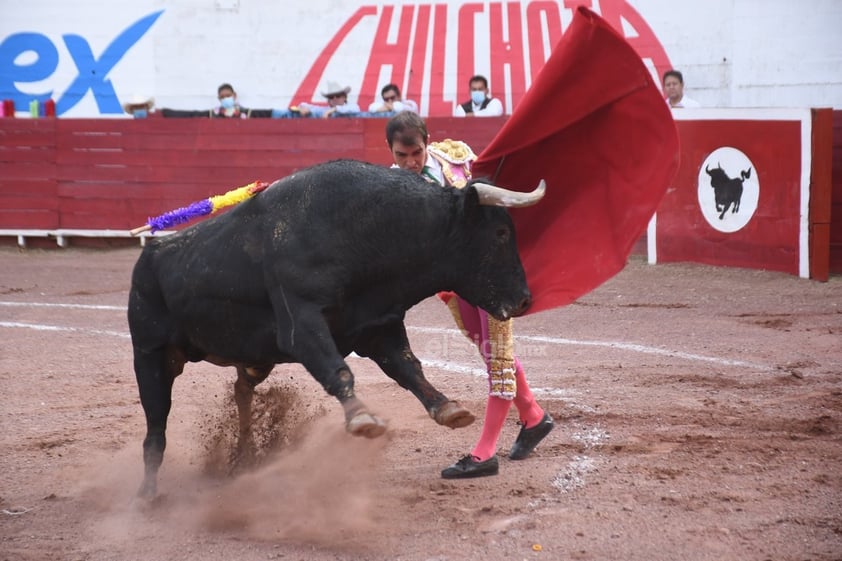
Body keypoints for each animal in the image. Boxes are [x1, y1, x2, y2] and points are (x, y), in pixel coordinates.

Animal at [127, 156, 540, 494]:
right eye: (501, 233)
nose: (524, 299)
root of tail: (148, 256)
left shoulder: (377, 327)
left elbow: (409, 368)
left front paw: (448, 409)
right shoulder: (302, 324)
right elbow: (337, 369)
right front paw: (362, 418)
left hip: (254, 355)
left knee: (241, 389)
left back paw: (245, 455)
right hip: (151, 356)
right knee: (155, 430)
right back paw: (147, 496)